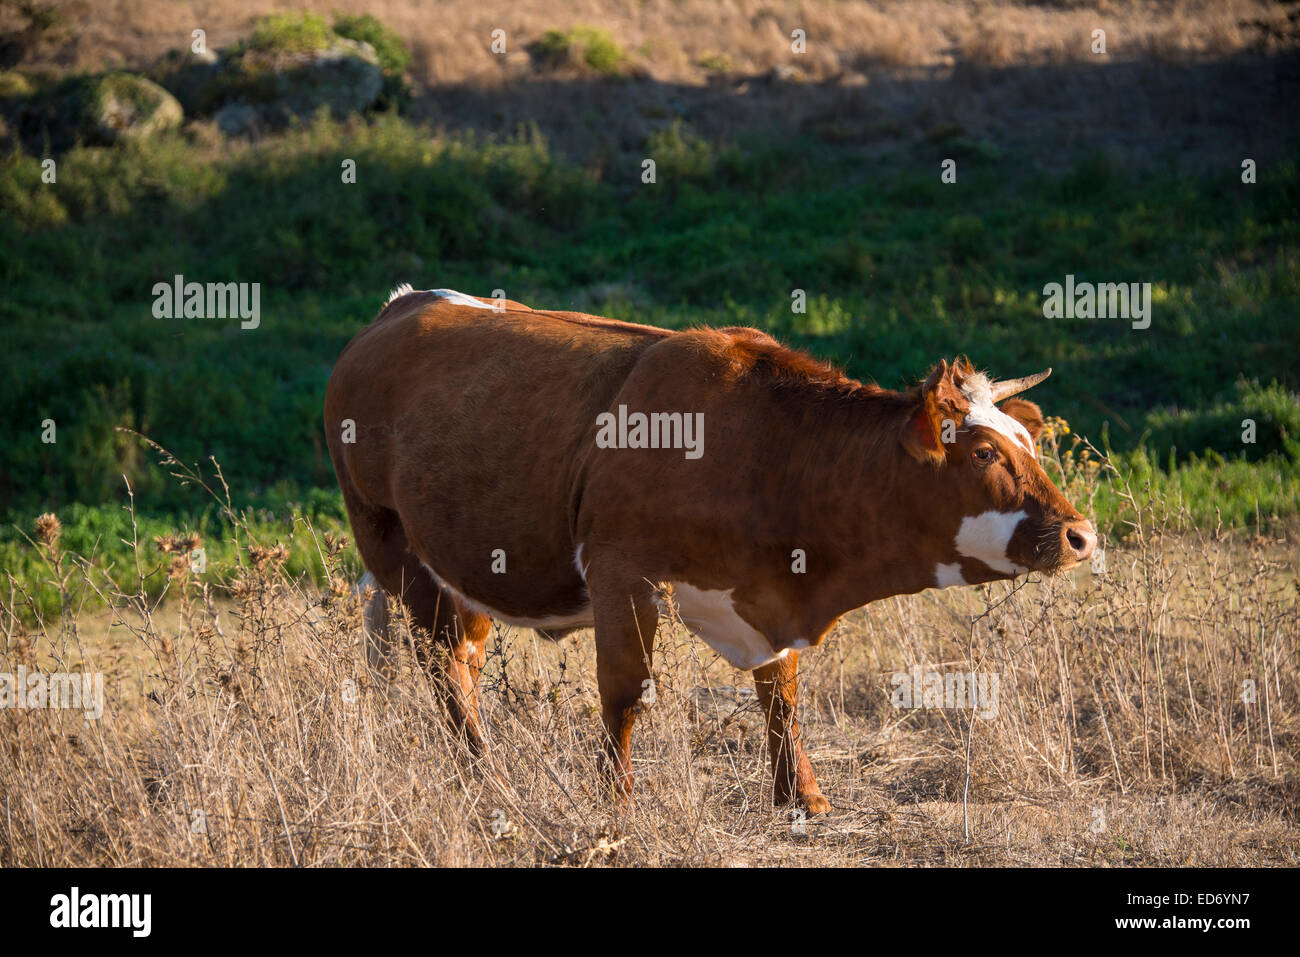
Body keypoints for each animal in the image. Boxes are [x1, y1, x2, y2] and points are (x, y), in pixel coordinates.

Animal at [324, 286, 1097, 814]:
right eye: (985, 451)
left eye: (1028, 443)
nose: (1080, 535)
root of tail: (401, 306)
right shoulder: (621, 571)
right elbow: (626, 692)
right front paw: (616, 801)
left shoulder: (768, 596)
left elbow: (780, 694)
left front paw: (801, 796)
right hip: (391, 541)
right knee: (443, 663)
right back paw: (482, 775)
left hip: (462, 568)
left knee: (464, 657)